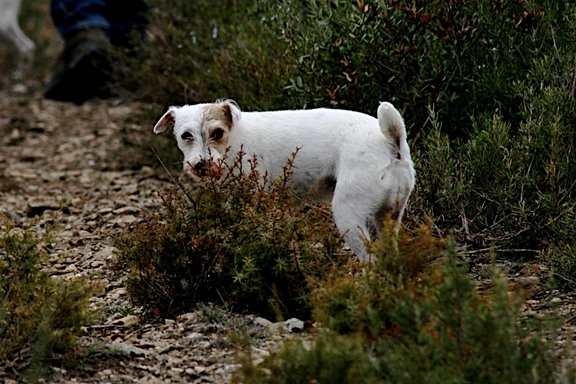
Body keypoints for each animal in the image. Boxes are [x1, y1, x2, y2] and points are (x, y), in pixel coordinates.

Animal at [153, 100, 414, 260]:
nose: (202, 164)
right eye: (186, 136)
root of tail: (391, 142)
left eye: (217, 133)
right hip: (389, 216)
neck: (234, 139)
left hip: (349, 215)